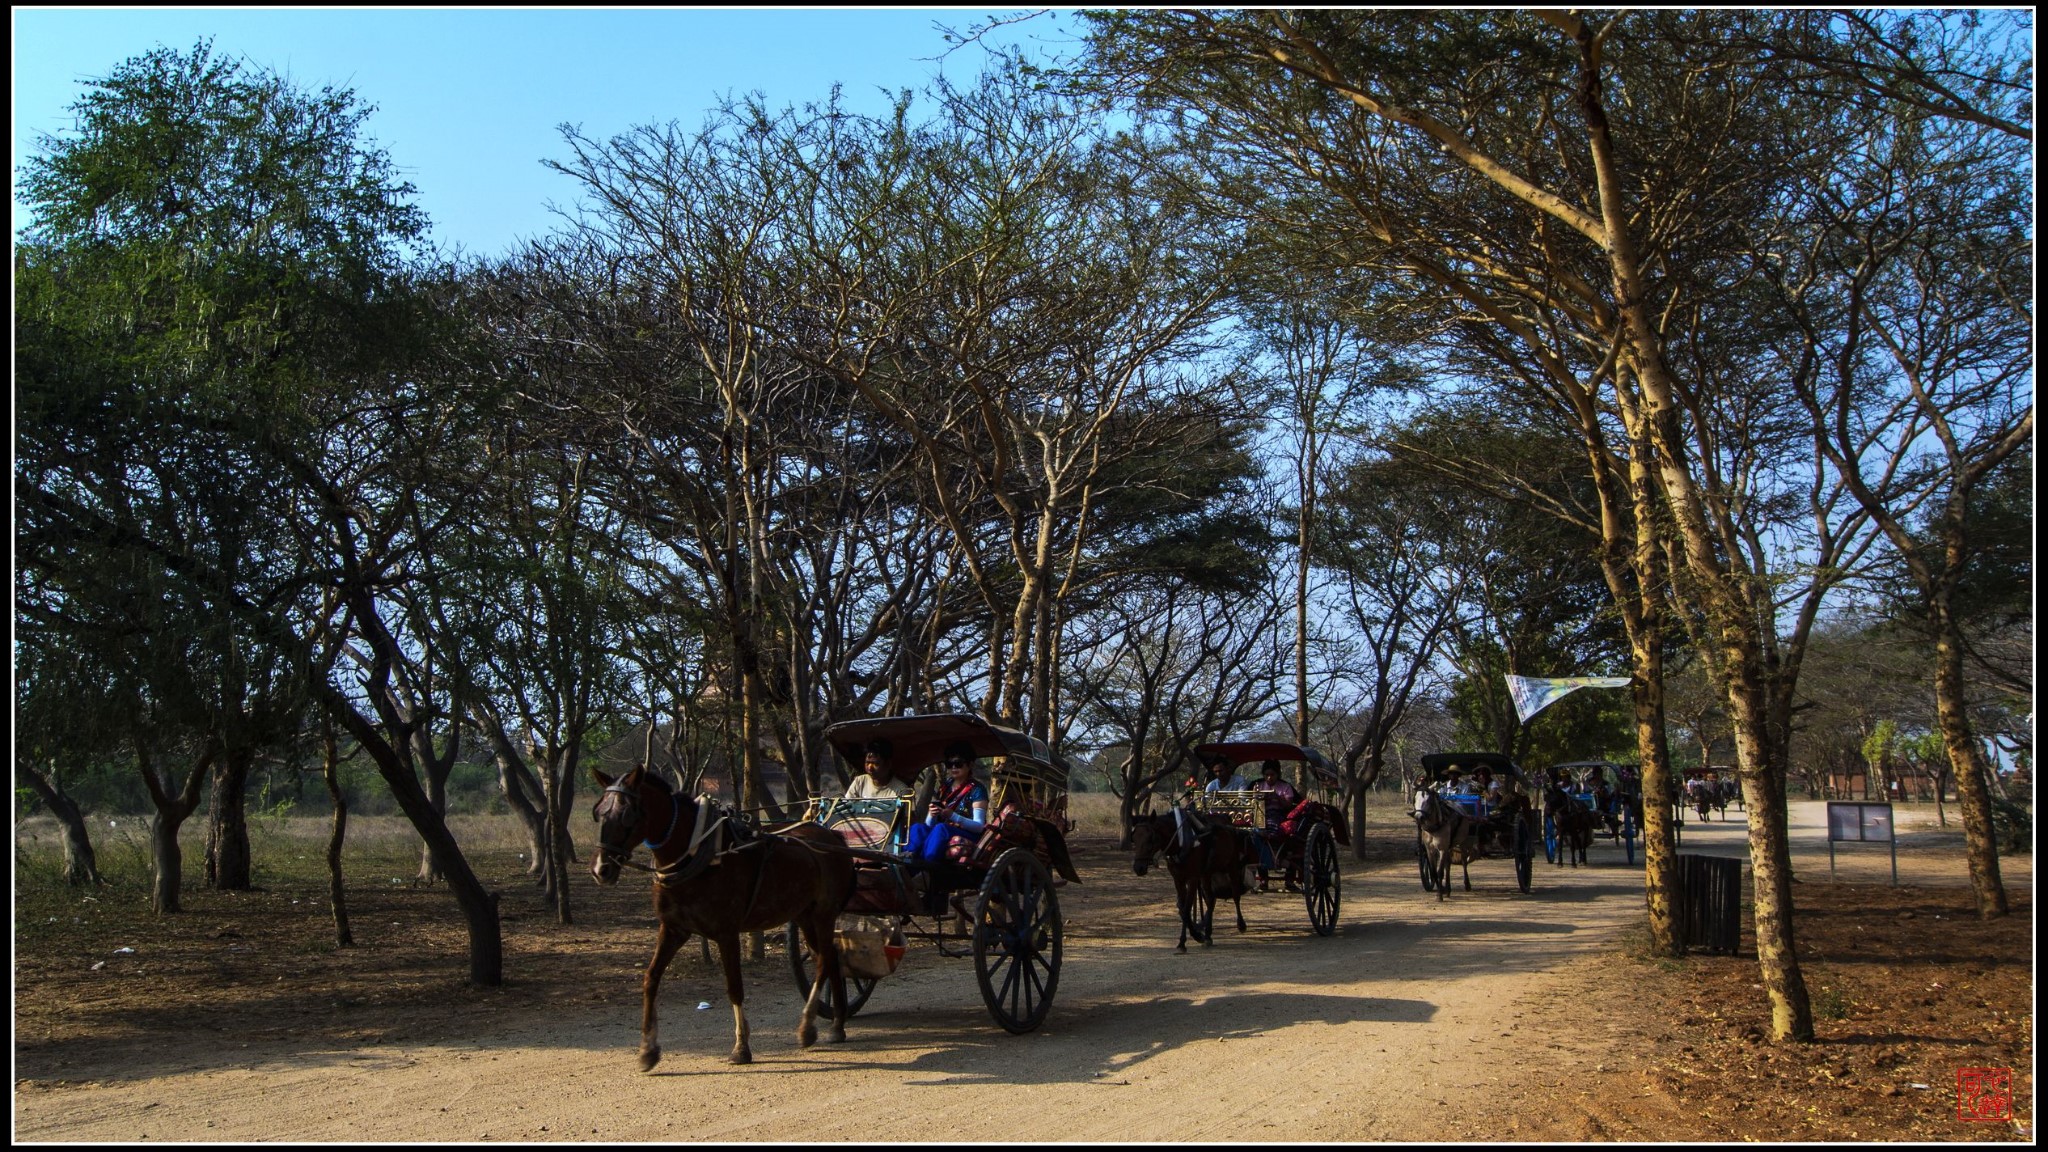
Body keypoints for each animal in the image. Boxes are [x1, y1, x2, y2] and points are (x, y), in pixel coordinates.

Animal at [593, 762, 856, 1065]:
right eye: (599, 812)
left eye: (626, 814)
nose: (601, 870)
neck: (697, 853)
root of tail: (832, 836)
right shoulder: (672, 929)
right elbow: (651, 979)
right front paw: (648, 1049)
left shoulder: (726, 933)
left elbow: (734, 987)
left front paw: (741, 1047)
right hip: (804, 916)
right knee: (831, 957)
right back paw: (837, 1024)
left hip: (824, 914)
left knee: (824, 960)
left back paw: (808, 1027)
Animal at [1130, 803, 1253, 947]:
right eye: (1134, 839)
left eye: (1151, 838)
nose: (1138, 868)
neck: (1180, 842)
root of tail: (1229, 824)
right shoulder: (1178, 879)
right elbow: (1183, 908)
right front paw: (1197, 935)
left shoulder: (1193, 878)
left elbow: (1187, 907)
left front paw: (1184, 941)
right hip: (1206, 874)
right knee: (1210, 899)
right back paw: (1208, 934)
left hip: (1231, 867)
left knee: (1235, 894)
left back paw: (1241, 924)